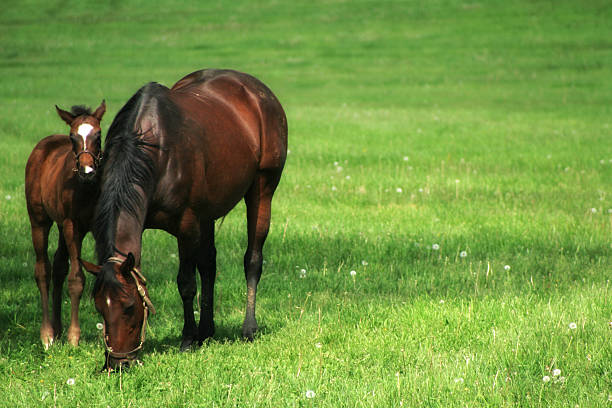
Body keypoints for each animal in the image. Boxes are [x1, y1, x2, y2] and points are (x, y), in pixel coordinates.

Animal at [25, 101, 106, 348]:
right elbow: (76, 279)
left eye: (98, 135)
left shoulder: (97, 227)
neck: (86, 188)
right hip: (39, 220)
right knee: (43, 269)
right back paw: (48, 334)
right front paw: (74, 337)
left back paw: (57, 328)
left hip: (62, 227)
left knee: (59, 266)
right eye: (73, 137)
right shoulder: (73, 225)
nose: (88, 171)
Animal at [80, 68, 288, 368]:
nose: (116, 364)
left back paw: (248, 328)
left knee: (253, 259)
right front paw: (197, 334)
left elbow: (186, 283)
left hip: (262, 190)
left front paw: (188, 339)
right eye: (99, 306)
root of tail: (257, 90)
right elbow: (201, 270)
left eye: (129, 306)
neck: (153, 150)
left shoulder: (186, 225)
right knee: (210, 264)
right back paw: (208, 330)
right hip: (208, 213)